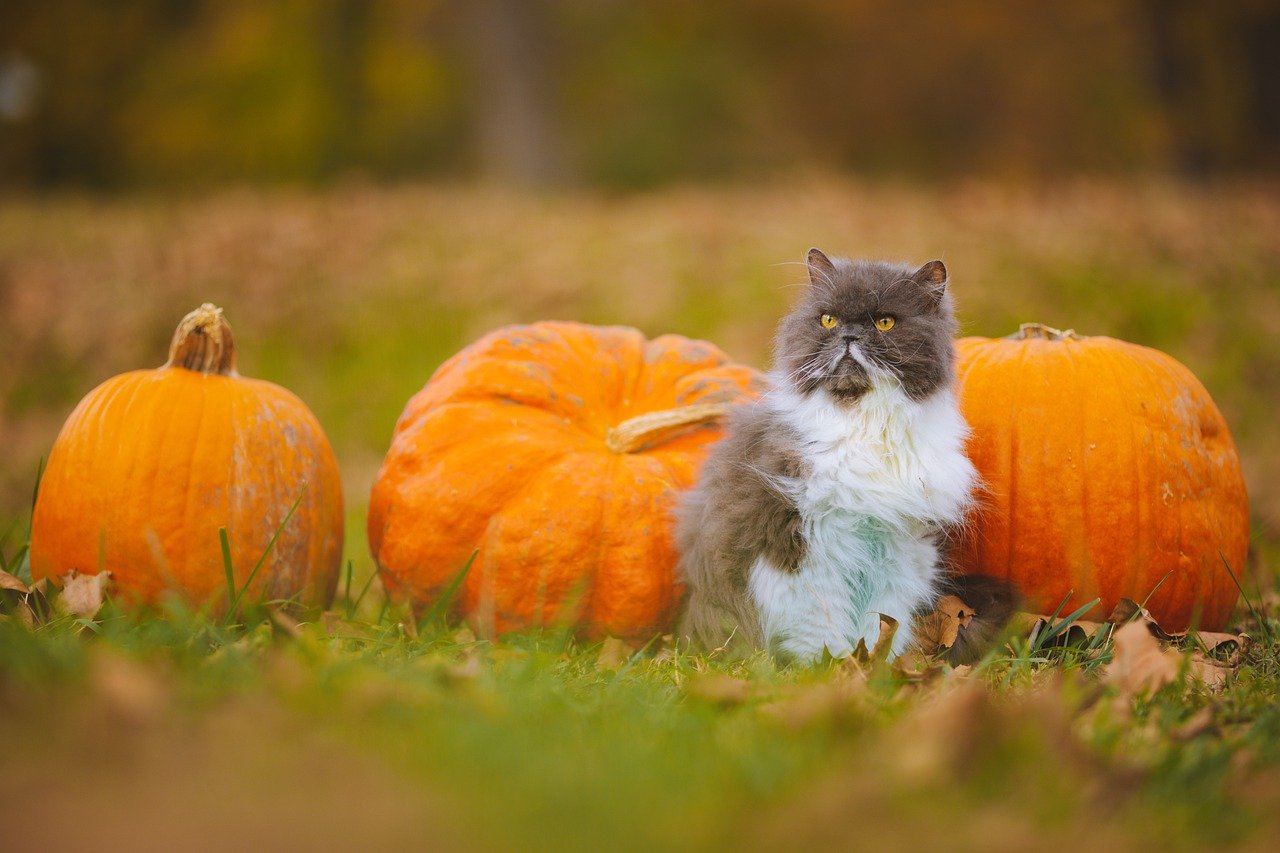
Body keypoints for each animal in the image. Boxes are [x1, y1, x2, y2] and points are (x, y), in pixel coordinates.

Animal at [680, 249, 988, 660]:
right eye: (829, 320)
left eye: (885, 322)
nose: (849, 335)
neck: (865, 425)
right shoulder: (802, 545)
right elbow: (821, 623)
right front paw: (834, 666)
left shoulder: (900, 550)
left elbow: (883, 622)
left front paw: (876, 665)